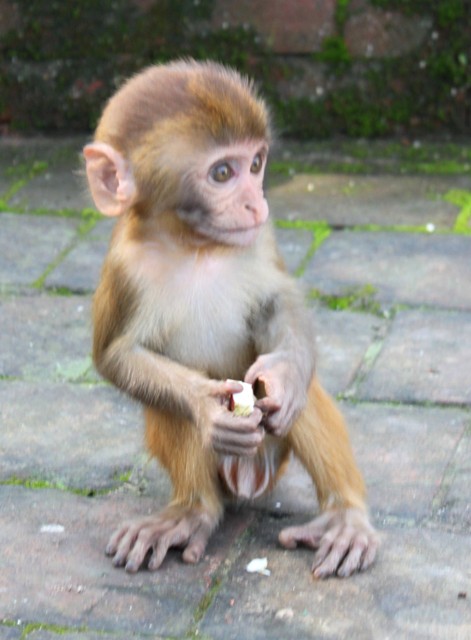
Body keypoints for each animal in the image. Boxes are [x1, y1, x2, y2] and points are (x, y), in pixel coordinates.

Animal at [83, 59, 378, 579]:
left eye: (256, 164)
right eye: (223, 172)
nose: (257, 204)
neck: (195, 245)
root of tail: (247, 478)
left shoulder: (260, 237)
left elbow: (279, 302)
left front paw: (284, 375)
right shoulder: (123, 268)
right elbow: (116, 355)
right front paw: (205, 407)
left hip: (274, 455)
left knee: (299, 398)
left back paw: (344, 518)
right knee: (170, 407)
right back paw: (190, 513)